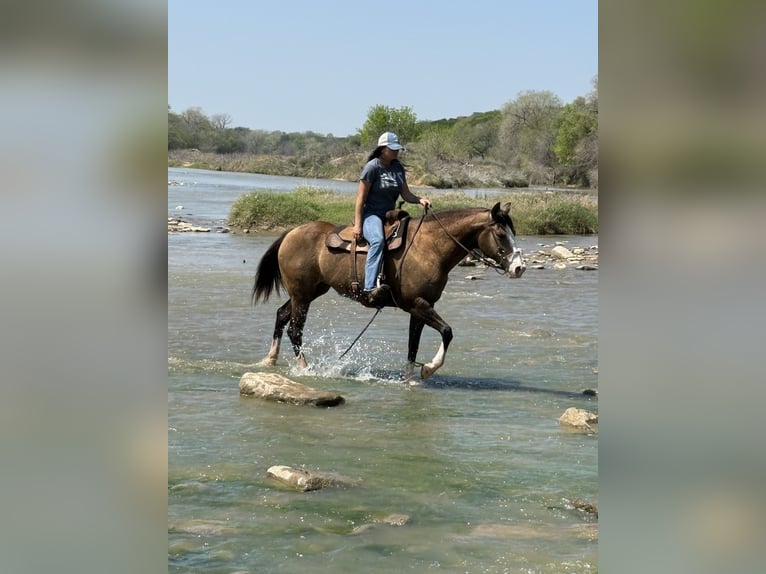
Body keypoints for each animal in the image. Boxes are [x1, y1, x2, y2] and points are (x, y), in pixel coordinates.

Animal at [252, 202, 526, 380]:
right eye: (501, 234)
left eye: (513, 232)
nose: (519, 267)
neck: (430, 247)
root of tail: (292, 232)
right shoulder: (417, 303)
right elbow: (447, 332)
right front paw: (429, 368)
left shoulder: (422, 307)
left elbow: (413, 344)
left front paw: (411, 378)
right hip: (302, 295)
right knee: (295, 329)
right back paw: (304, 367)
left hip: (308, 293)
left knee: (281, 315)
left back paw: (270, 359)